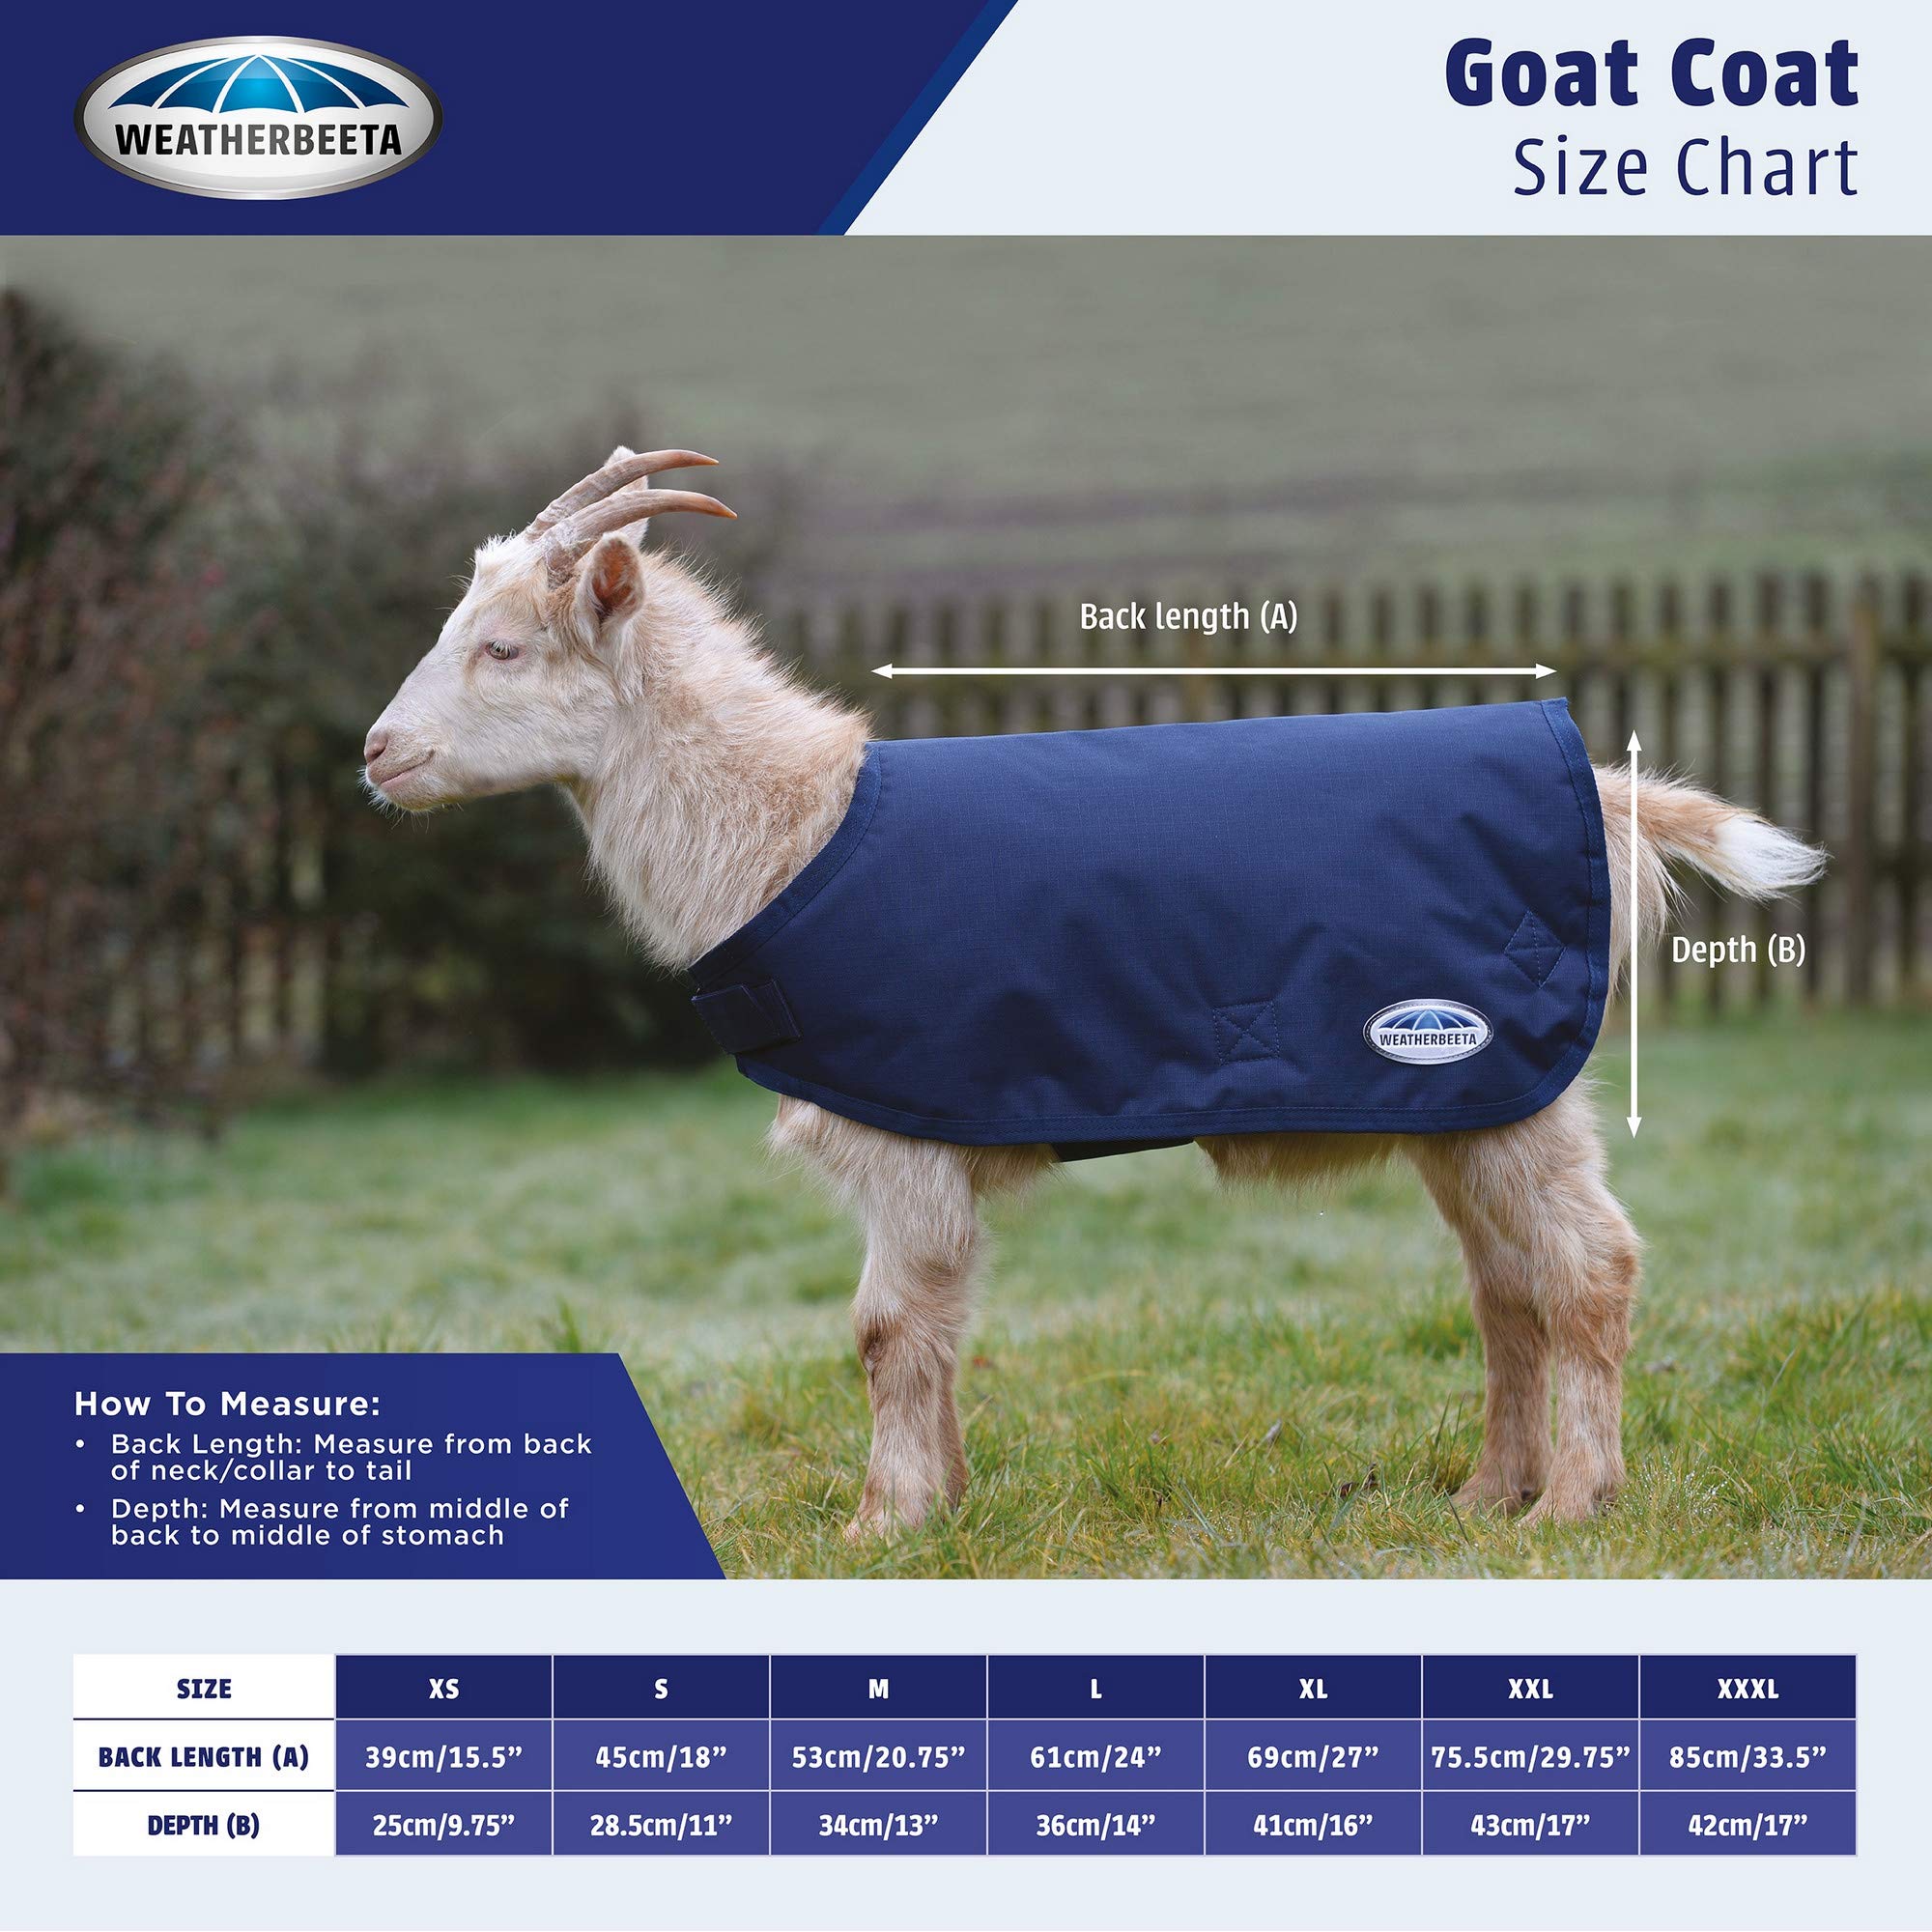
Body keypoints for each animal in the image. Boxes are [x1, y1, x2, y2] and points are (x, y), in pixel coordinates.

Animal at [365, 450, 1826, 1535]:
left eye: (502, 648)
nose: (378, 752)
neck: (792, 832)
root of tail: (1605, 787)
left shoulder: (900, 1134)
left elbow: (886, 1329)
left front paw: (880, 1524)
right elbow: (937, 1326)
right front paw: (944, 1507)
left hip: (1506, 1082)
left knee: (1586, 1268)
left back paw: (1571, 1504)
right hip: (1469, 1101)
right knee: (1502, 1289)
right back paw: (1481, 1496)